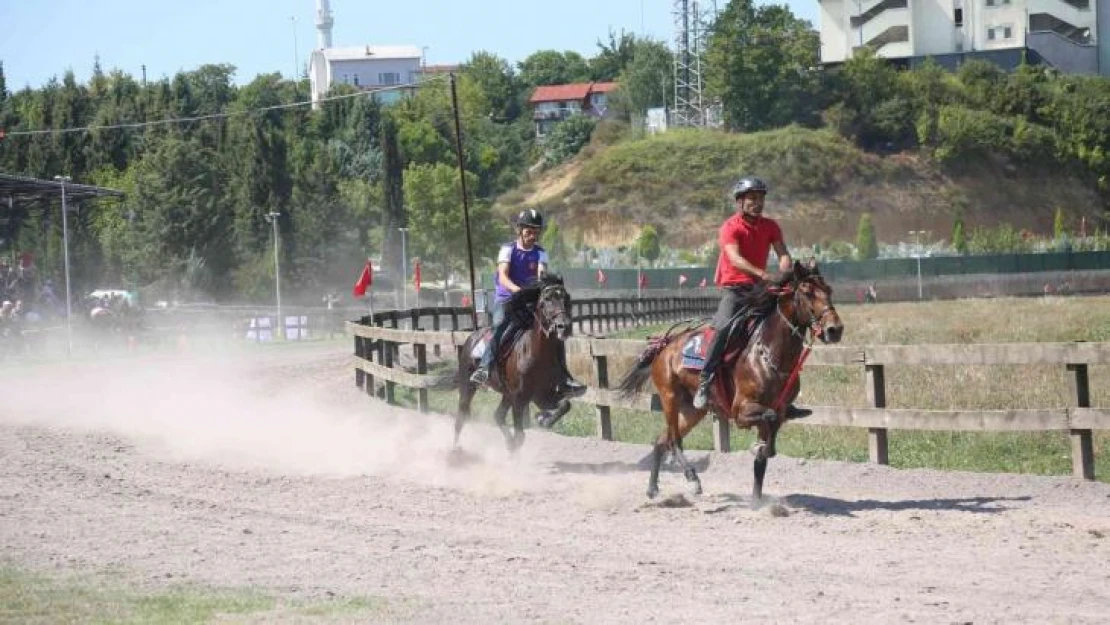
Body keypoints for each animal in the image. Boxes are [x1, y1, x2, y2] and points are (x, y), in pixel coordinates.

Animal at [455, 276, 581, 452]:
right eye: (546, 300)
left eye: (567, 298)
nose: (564, 327)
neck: (535, 355)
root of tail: (472, 337)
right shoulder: (519, 398)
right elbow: (520, 436)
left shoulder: (541, 394)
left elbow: (565, 404)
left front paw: (543, 419)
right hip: (468, 386)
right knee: (461, 416)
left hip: (506, 394)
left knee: (498, 416)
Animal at [617, 261, 839, 506]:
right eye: (807, 293)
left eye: (828, 290)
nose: (835, 329)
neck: (767, 354)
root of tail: (665, 345)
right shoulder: (741, 411)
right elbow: (768, 421)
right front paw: (760, 448)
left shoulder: (780, 410)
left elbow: (766, 448)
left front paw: (757, 499)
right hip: (669, 398)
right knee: (674, 441)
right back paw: (692, 478)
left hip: (692, 410)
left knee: (660, 440)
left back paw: (652, 488)